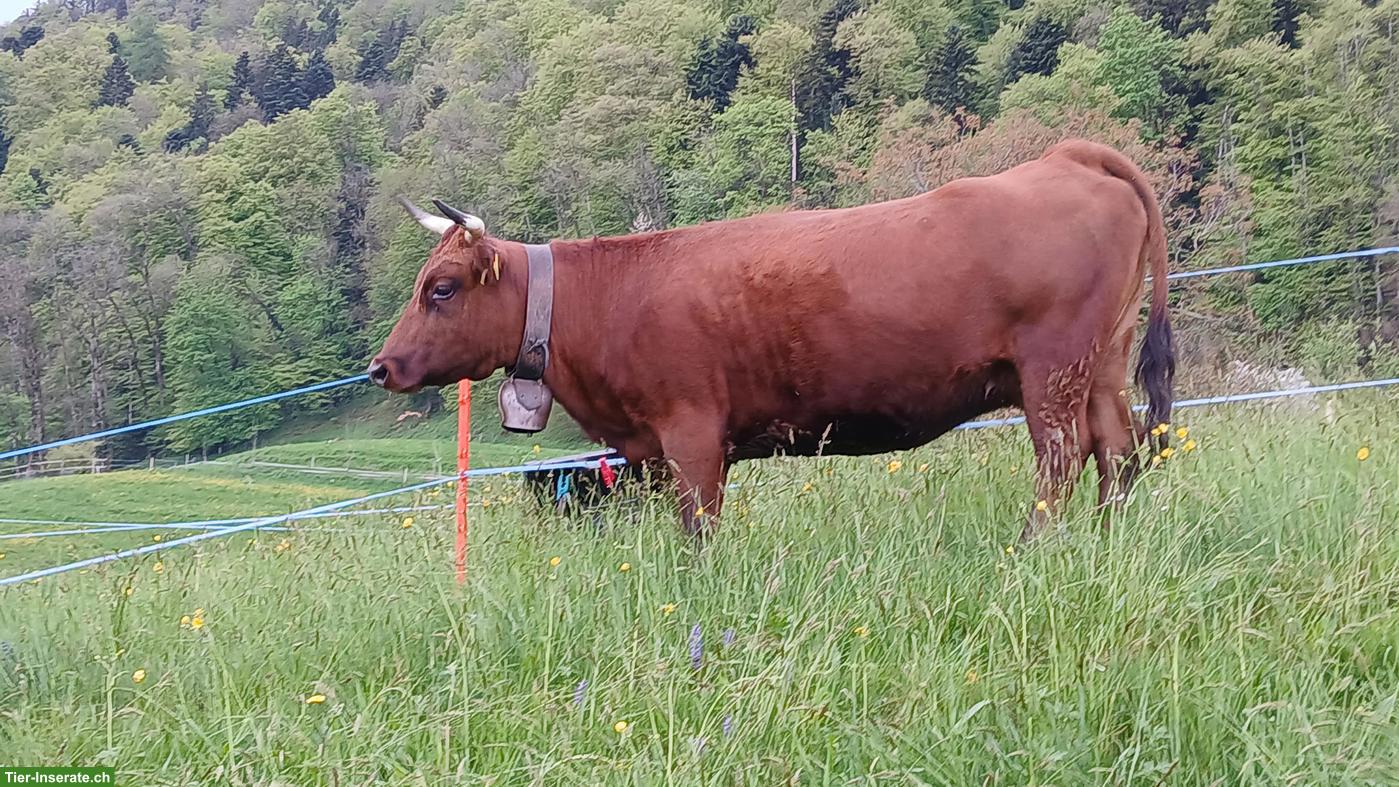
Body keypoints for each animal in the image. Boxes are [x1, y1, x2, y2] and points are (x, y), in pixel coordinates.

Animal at [368, 139, 1174, 541]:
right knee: (1118, 449)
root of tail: (1067, 155)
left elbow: (699, 532)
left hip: (1052, 372)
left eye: (441, 289)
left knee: (1062, 458)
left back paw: (1033, 547)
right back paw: (1106, 543)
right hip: (1099, 364)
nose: (381, 366)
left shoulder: (691, 433)